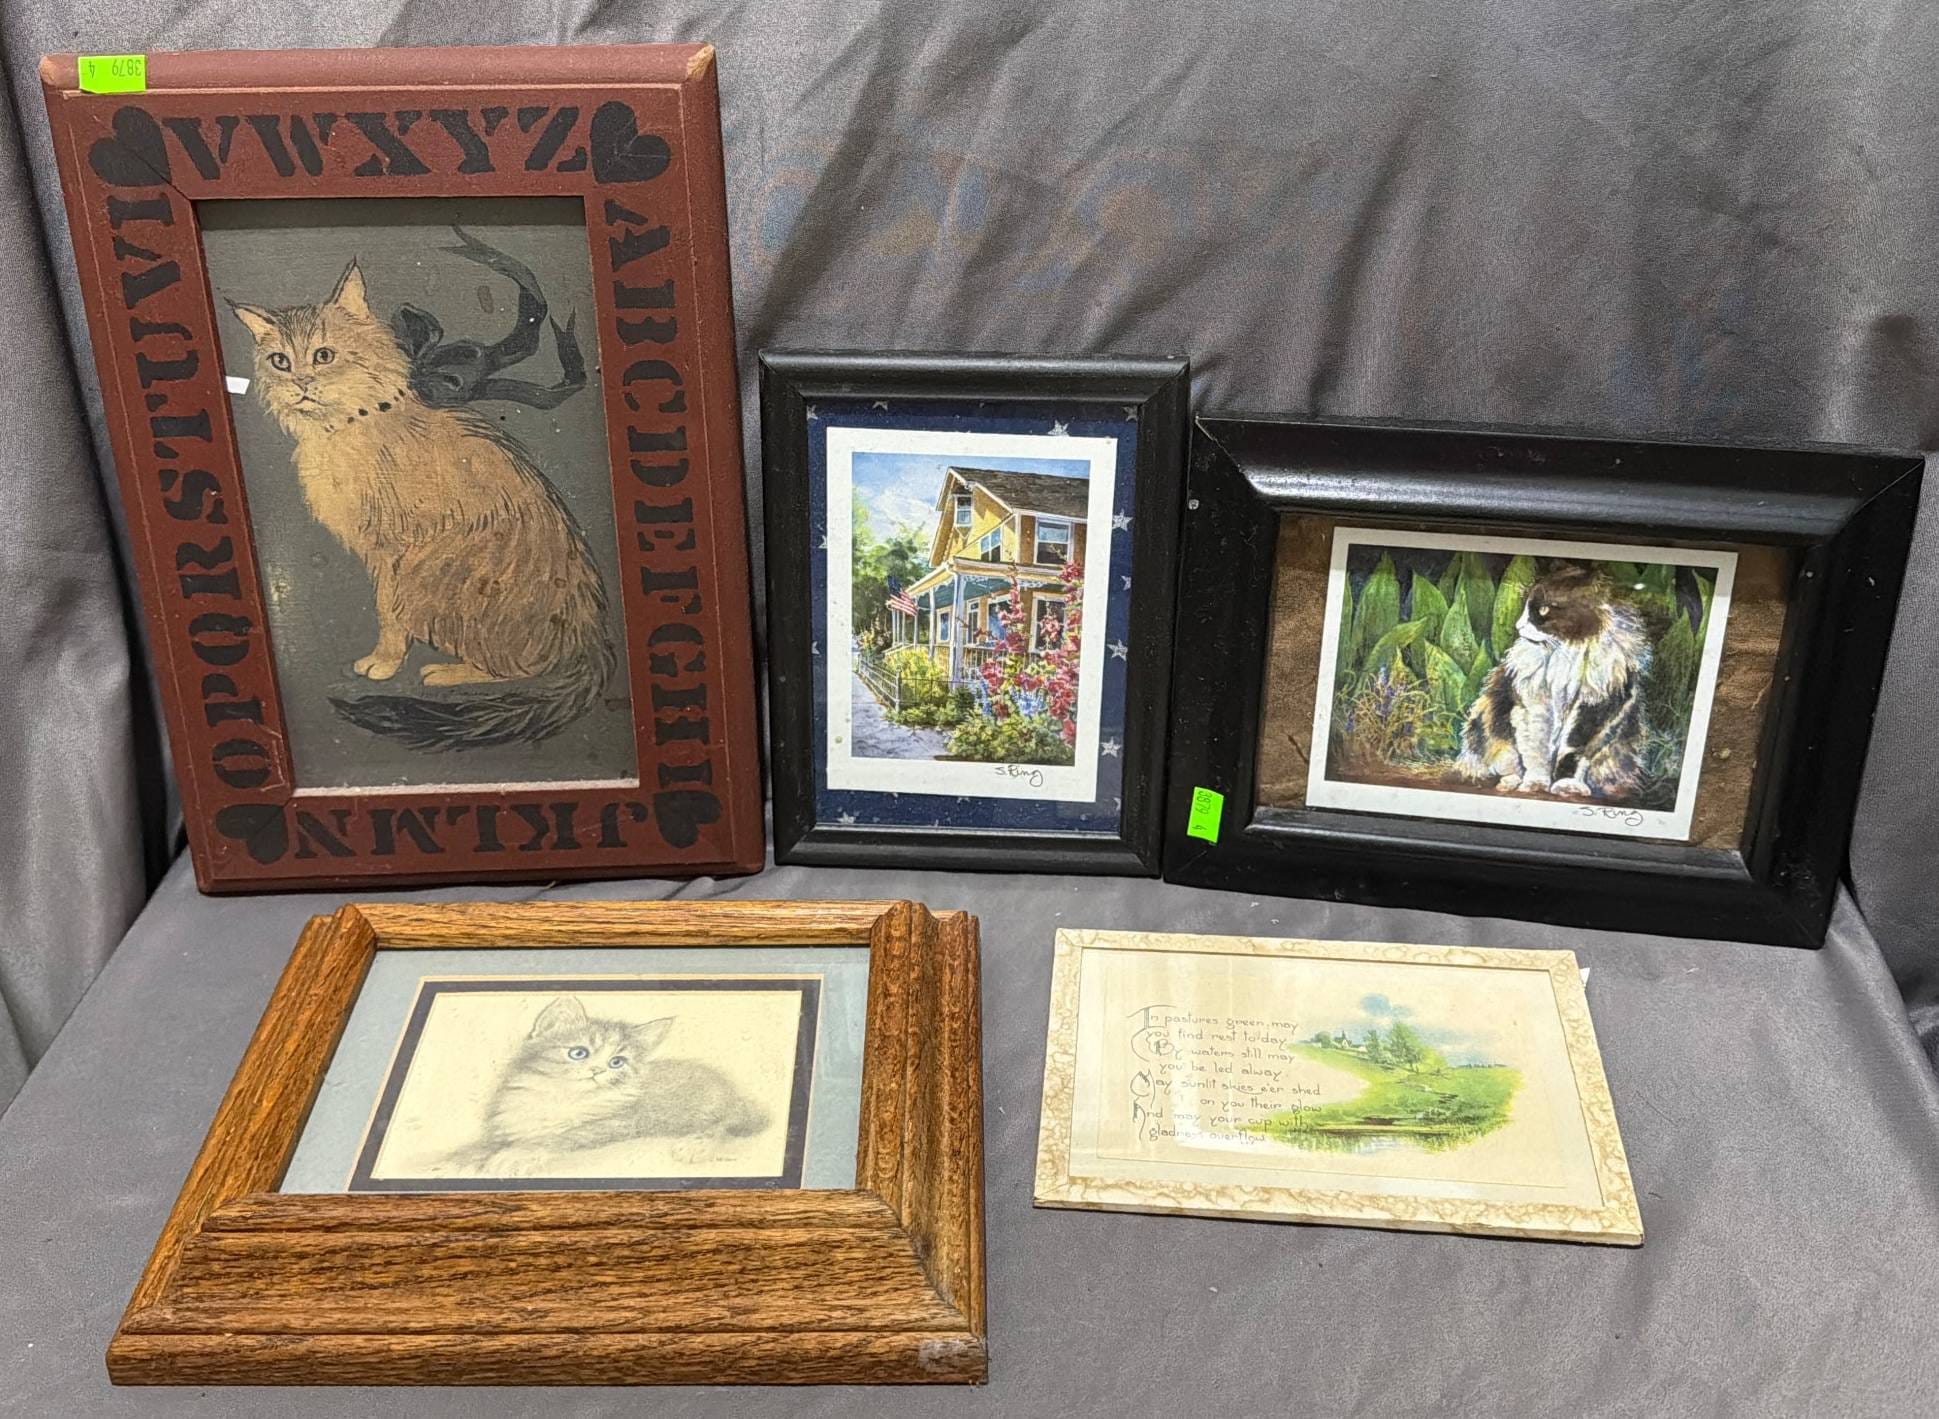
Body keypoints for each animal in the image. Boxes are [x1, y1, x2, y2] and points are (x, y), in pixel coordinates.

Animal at [228, 256, 614, 750]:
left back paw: (447, 671)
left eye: (323, 356)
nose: (300, 384)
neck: (352, 424)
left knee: (519, 667)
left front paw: (385, 662)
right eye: (281, 361)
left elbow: (387, 613)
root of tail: (592, 635)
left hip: (429, 569)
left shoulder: (393, 550)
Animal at [449, 994, 768, 1177]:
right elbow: (483, 1145)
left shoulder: (617, 1124)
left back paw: (696, 1144)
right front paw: (460, 1158)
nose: (598, 1070)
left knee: (728, 1125)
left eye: (617, 1062)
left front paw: (517, 1155)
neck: (562, 1099)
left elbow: (559, 1137)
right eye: (579, 1053)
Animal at [1455, 564, 1649, 799]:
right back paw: (1509, 782)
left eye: (1544, 610)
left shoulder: (1598, 707)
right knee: (1495, 764)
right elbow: (1538, 749)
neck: (1568, 653)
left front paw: (1566, 784)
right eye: (1526, 607)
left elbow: (1573, 752)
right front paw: (1536, 784)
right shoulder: (1534, 704)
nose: (1518, 626)